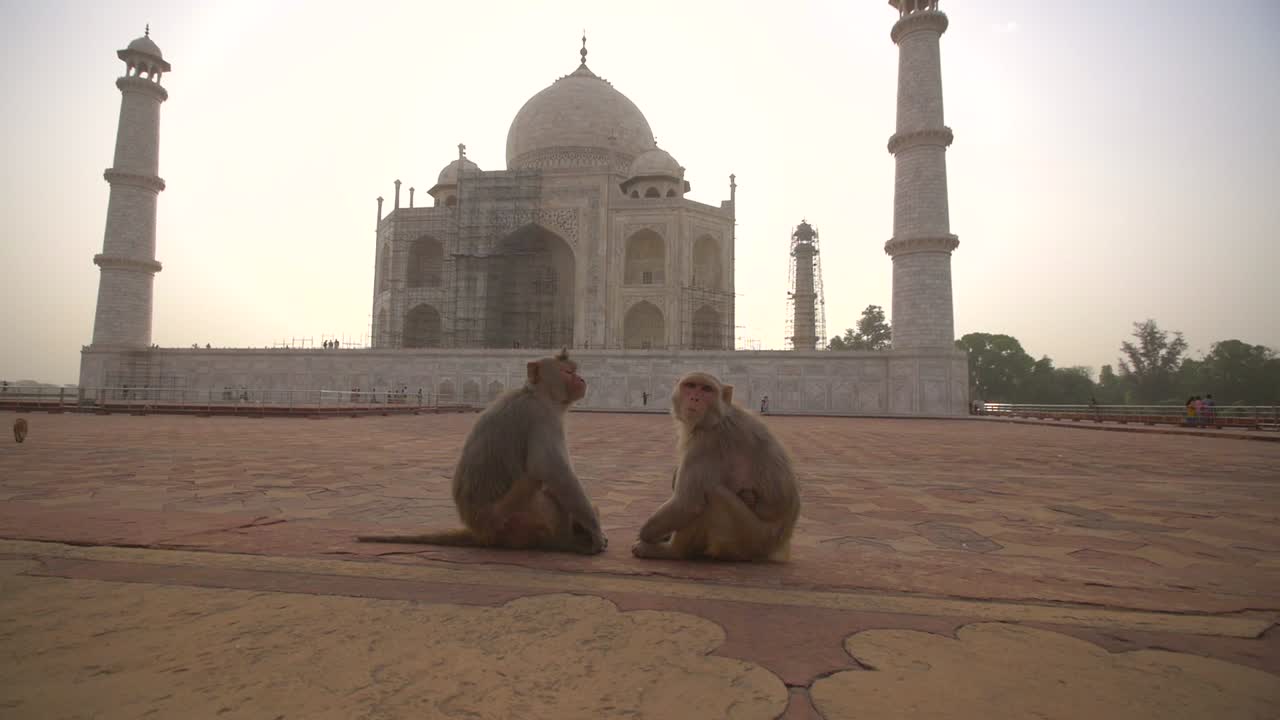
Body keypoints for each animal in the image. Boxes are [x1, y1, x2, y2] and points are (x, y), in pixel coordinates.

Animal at [358, 350, 607, 554]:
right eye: (568, 372)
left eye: (575, 371)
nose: (582, 379)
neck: (537, 394)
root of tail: (479, 532)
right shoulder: (542, 416)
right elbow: (549, 469)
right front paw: (596, 533)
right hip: (517, 517)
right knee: (540, 483)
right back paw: (569, 542)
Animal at [632, 372, 800, 562]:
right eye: (690, 385)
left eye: (706, 389)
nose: (695, 398)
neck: (718, 418)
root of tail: (779, 546)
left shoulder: (708, 442)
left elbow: (687, 503)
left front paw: (645, 535)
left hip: (750, 541)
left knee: (712, 494)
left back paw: (672, 551)